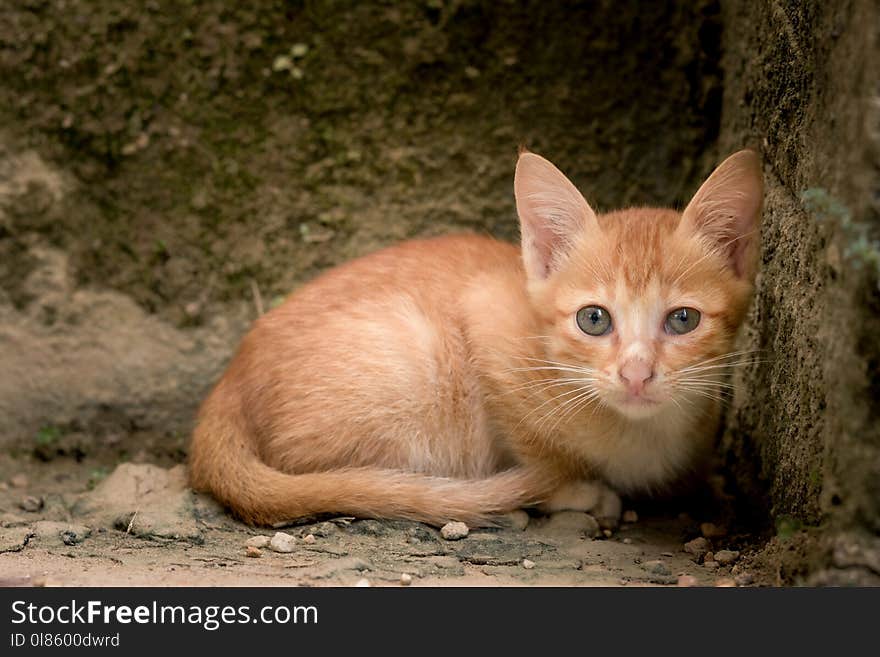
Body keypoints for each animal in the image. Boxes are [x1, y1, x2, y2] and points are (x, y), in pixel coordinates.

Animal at [189, 150, 760, 528]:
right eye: (594, 320)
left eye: (683, 320)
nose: (636, 373)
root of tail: (228, 384)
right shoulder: (487, 319)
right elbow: (541, 455)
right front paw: (576, 489)